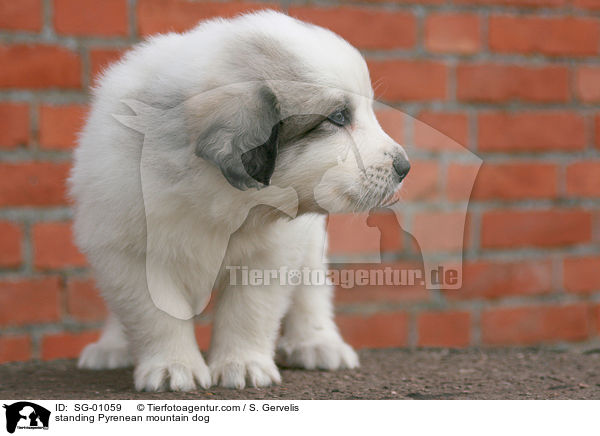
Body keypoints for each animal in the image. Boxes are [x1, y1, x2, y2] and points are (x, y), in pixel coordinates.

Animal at [69, 11, 408, 392]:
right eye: (338, 117)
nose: (404, 167)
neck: (220, 197)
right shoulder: (127, 251)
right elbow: (155, 315)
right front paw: (173, 366)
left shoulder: (273, 251)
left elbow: (249, 310)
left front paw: (242, 364)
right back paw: (110, 347)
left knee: (311, 289)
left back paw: (318, 343)